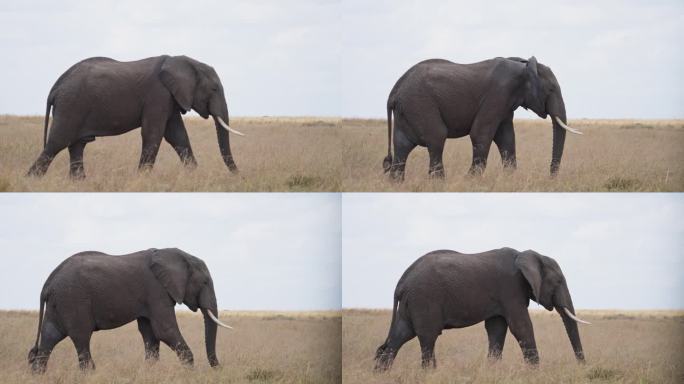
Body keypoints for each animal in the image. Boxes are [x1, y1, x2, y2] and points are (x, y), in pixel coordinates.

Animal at [26, 248, 232, 374]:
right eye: (204, 282)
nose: (219, 368)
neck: (174, 254)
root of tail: (48, 281)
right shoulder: (156, 291)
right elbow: (164, 331)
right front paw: (189, 372)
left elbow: (151, 334)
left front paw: (149, 372)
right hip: (73, 300)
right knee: (81, 337)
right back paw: (90, 374)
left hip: (59, 303)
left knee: (49, 337)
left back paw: (37, 375)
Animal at [27, 55, 246, 178]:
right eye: (214, 89)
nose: (239, 176)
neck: (185, 62)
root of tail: (55, 87)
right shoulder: (158, 94)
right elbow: (153, 134)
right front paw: (142, 178)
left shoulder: (170, 98)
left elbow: (178, 136)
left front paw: (194, 175)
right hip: (71, 106)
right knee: (56, 143)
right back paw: (32, 180)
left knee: (76, 146)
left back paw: (78, 182)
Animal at [374, 248, 588, 370]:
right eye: (558, 282)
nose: (582, 368)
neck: (528, 254)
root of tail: (401, 282)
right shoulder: (511, 288)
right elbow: (521, 327)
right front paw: (535, 373)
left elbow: (497, 329)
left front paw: (492, 371)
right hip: (424, 299)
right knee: (428, 339)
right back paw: (430, 373)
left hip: (411, 304)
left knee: (399, 337)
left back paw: (381, 373)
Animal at [384, 57, 584, 182]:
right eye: (550, 89)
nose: (550, 177)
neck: (524, 66)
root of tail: (394, 91)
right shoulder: (497, 95)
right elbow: (480, 134)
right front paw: (470, 180)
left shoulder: (505, 105)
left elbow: (506, 139)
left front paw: (509, 179)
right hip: (420, 104)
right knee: (436, 139)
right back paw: (438, 183)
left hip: (406, 110)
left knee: (402, 147)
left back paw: (397, 184)